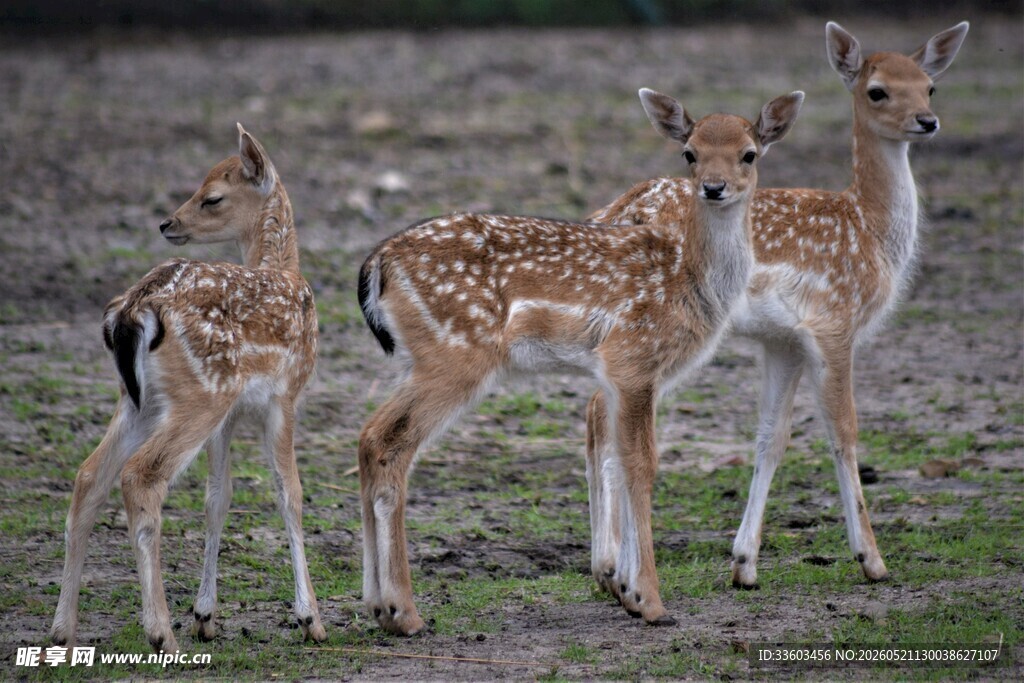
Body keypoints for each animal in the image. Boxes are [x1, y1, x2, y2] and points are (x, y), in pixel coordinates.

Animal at [50, 125, 327, 652]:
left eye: (211, 196)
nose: (166, 222)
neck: (285, 271)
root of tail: (133, 309)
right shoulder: (286, 395)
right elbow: (290, 492)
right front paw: (311, 620)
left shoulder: (231, 415)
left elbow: (218, 497)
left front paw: (205, 616)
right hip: (199, 395)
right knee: (140, 477)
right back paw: (160, 633)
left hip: (142, 401)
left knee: (89, 476)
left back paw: (64, 629)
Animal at [356, 91, 804, 634]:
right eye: (690, 153)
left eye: (749, 154)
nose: (714, 188)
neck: (691, 280)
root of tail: (378, 262)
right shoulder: (632, 358)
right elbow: (641, 462)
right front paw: (652, 602)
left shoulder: (620, 373)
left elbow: (616, 456)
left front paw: (629, 591)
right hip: (455, 354)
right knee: (391, 445)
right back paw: (405, 611)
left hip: (420, 359)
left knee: (369, 437)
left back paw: (377, 606)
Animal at [584, 21, 969, 593]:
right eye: (877, 91)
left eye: (930, 86)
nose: (926, 121)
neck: (870, 230)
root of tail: (616, 210)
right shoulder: (833, 320)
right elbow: (845, 429)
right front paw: (872, 560)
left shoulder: (782, 339)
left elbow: (772, 437)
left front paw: (744, 564)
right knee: (600, 413)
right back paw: (611, 568)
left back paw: (607, 568)